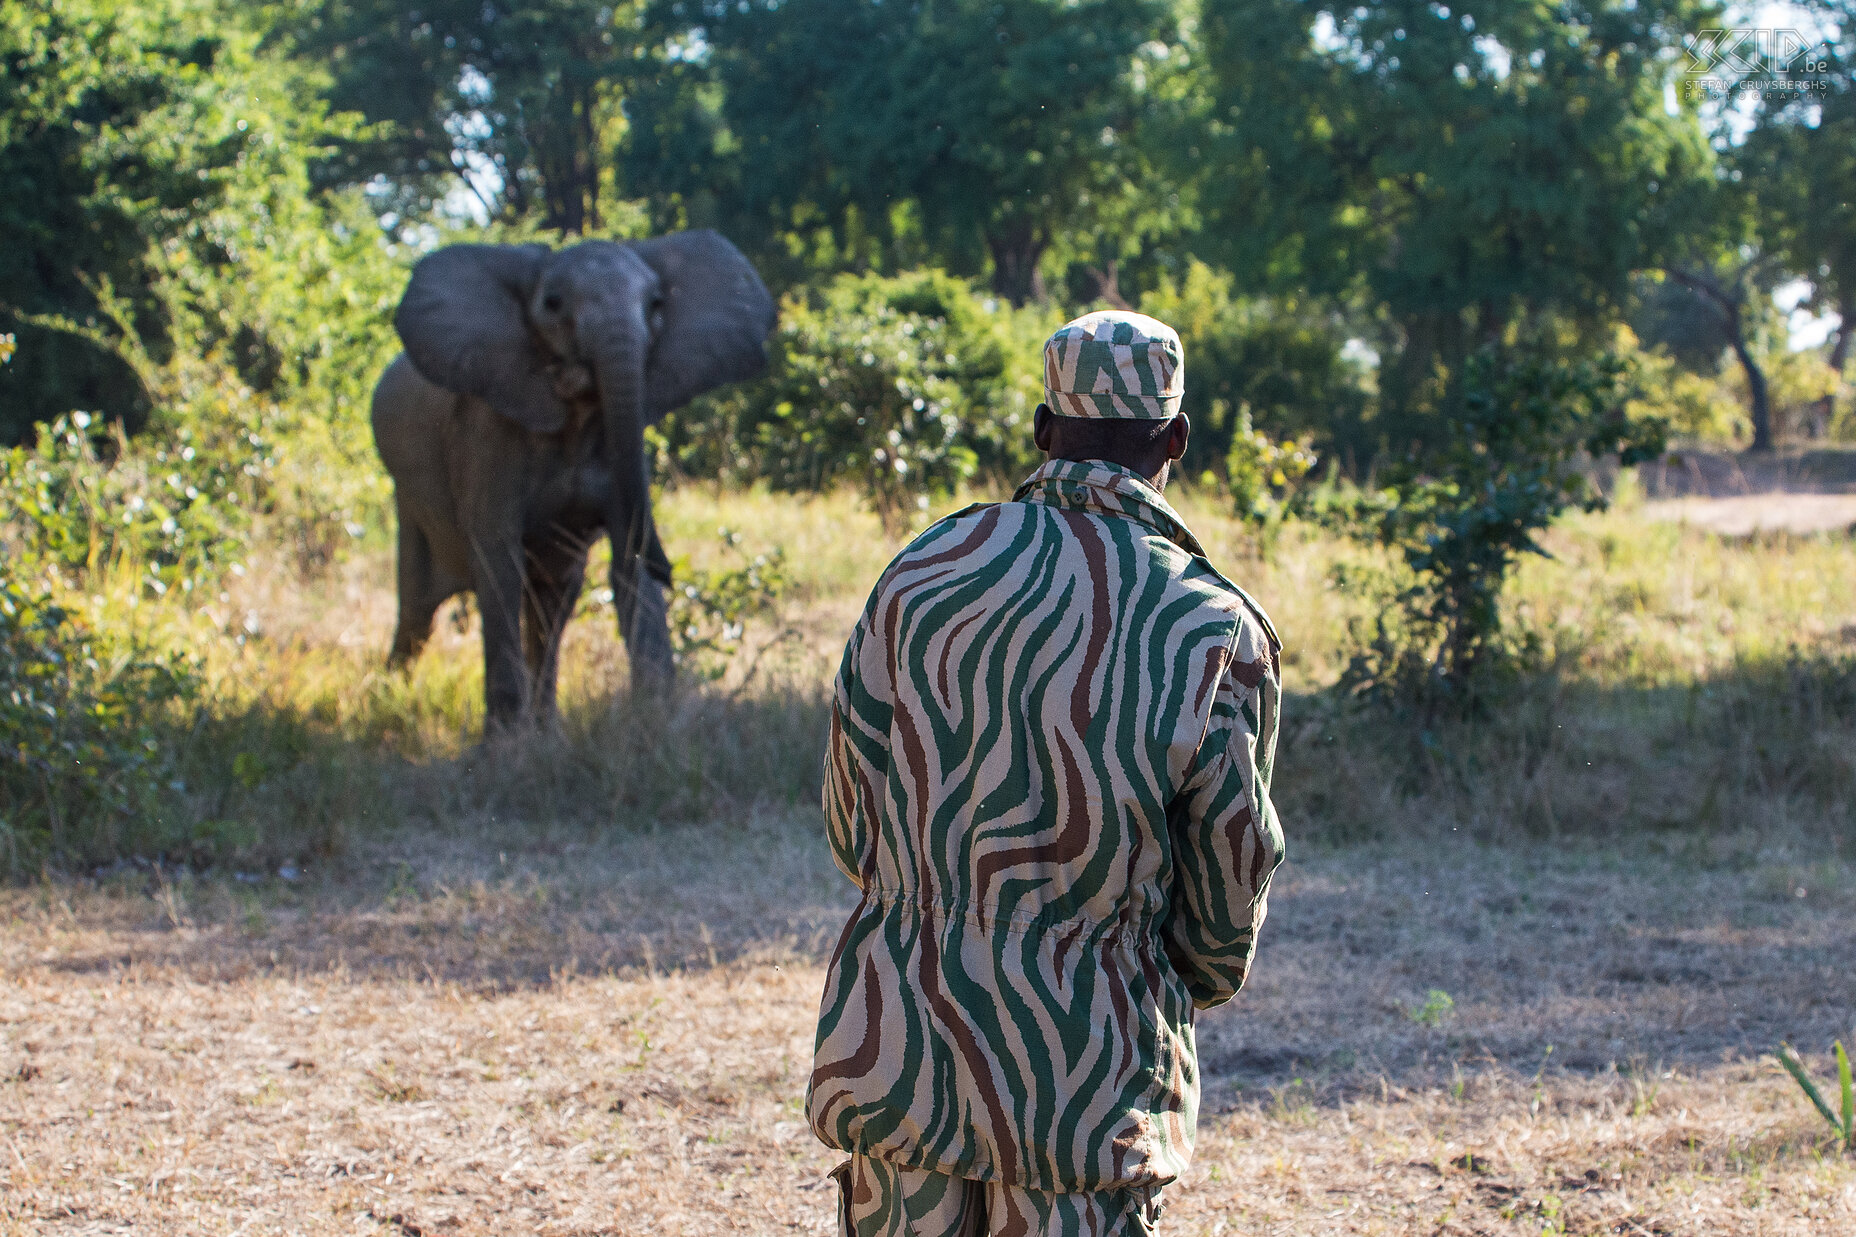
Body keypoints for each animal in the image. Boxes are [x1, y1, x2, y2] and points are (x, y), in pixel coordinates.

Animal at [369, 227, 775, 728]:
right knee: (418, 608)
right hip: (408, 501)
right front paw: (504, 741)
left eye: (657, 303)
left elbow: (628, 561)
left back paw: (547, 731)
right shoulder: (485, 436)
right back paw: (387, 699)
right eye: (553, 303)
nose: (669, 570)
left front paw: (656, 717)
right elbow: (497, 564)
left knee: (551, 603)